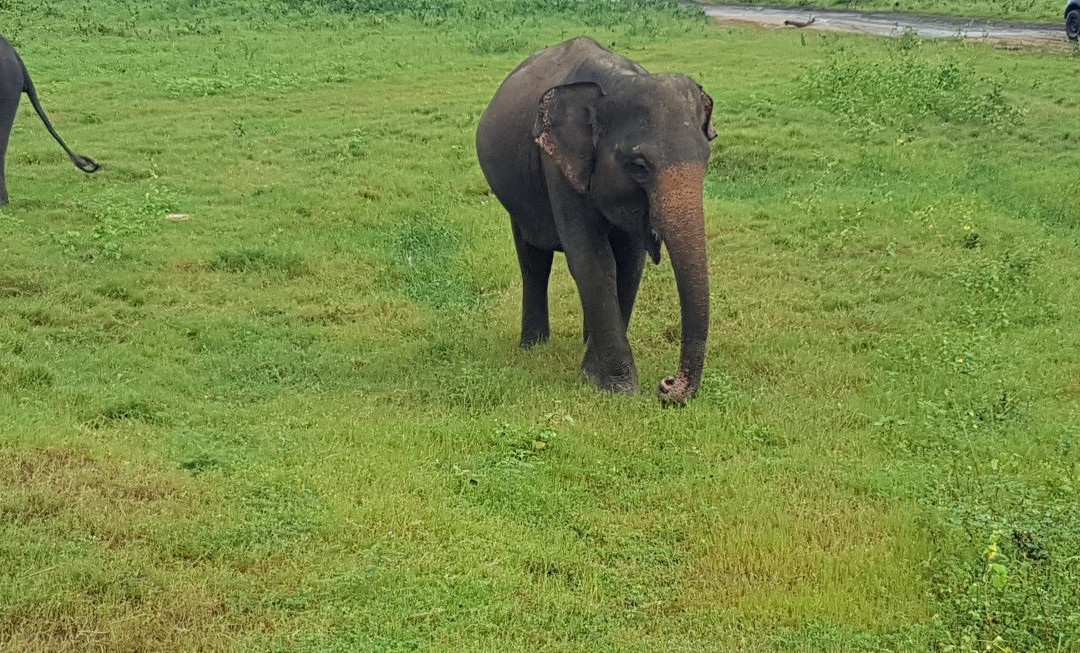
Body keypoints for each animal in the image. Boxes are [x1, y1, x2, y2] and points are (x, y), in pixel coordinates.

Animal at [476, 36, 717, 405]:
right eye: (639, 166)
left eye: (706, 159)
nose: (667, 386)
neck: (617, 81)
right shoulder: (557, 164)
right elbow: (593, 260)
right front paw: (614, 386)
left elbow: (629, 263)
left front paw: (596, 371)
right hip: (517, 196)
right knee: (533, 260)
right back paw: (533, 347)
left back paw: (585, 340)